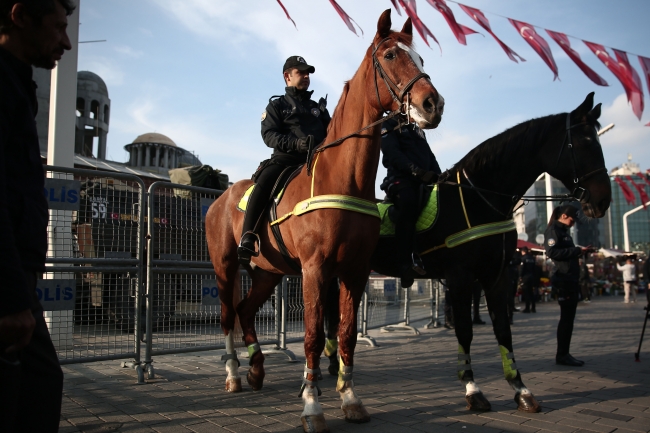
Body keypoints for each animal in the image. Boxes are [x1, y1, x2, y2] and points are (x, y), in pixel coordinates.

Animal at [205, 10, 442, 432]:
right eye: (391, 55)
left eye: (421, 57)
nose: (432, 104)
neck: (341, 178)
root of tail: (221, 199)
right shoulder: (315, 270)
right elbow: (314, 337)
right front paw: (312, 406)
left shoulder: (354, 270)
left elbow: (346, 334)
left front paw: (350, 398)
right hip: (226, 267)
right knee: (228, 316)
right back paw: (234, 374)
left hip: (269, 273)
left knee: (246, 311)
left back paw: (256, 369)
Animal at [370, 93, 608, 412]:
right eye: (585, 144)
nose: (603, 200)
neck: (478, 199)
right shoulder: (460, 277)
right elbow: (465, 331)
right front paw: (473, 389)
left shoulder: (497, 275)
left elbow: (504, 330)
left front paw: (521, 389)